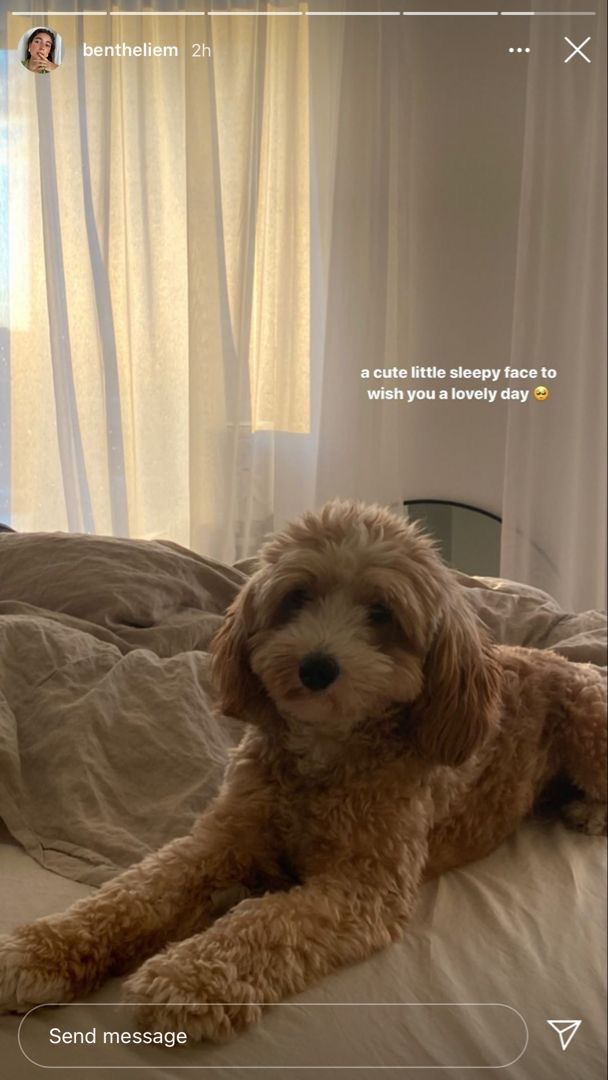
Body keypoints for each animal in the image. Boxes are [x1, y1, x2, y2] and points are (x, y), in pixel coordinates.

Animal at [1, 496, 608, 1036]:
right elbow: (135, 892)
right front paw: (41, 949)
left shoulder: (361, 888)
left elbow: (264, 920)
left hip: (589, 723)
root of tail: (566, 660)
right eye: (297, 597)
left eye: (382, 613)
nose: (316, 667)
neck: (325, 753)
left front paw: (190, 974)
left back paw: (588, 812)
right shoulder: (220, 839)